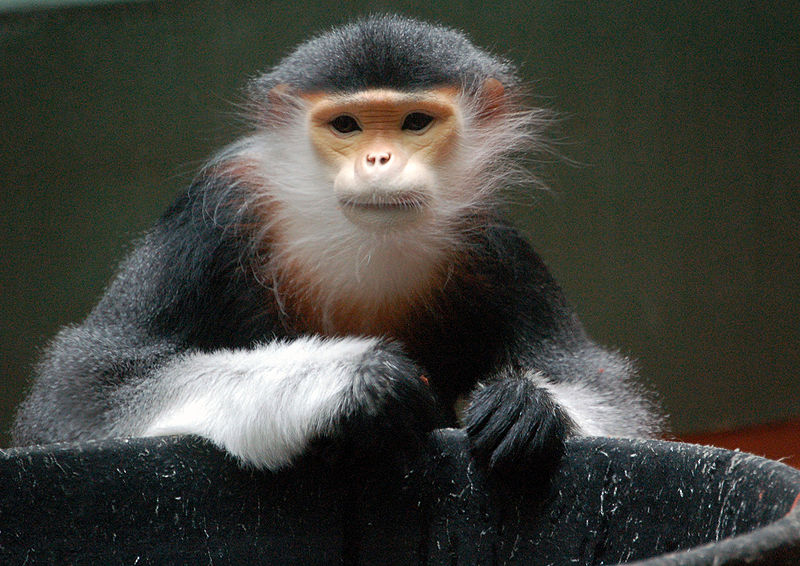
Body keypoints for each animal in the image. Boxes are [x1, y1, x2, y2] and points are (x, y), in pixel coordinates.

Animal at [12, 15, 664, 480]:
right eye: (347, 125)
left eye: (415, 123)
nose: (379, 159)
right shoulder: (210, 218)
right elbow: (81, 394)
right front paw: (360, 380)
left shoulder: (495, 246)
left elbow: (613, 402)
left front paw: (528, 404)